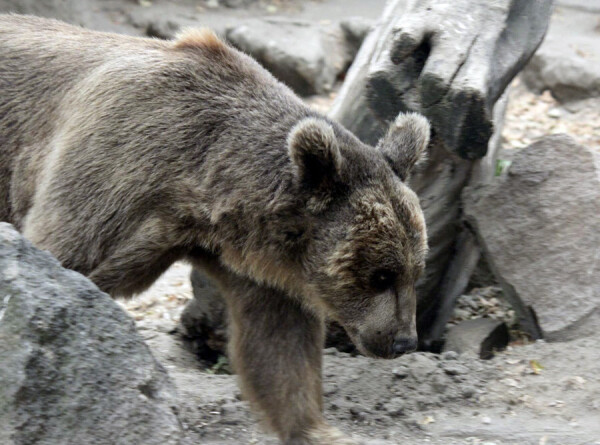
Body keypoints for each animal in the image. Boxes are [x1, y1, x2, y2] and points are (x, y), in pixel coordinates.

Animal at [0, 14, 432, 444]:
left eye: (415, 271)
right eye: (380, 274)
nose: (403, 340)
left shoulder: (260, 267)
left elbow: (280, 348)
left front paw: (316, 429)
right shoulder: (114, 173)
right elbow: (64, 257)